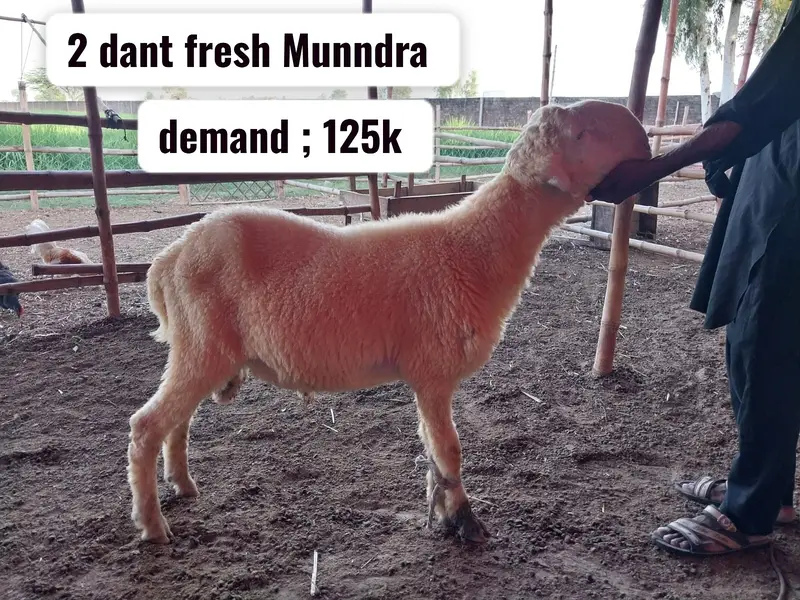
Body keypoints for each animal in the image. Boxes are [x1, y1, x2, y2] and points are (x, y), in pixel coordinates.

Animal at [127, 99, 652, 545]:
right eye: (582, 134)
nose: (643, 138)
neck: (474, 247)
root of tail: (170, 257)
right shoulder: (434, 370)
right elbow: (449, 450)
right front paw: (463, 521)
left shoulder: (426, 376)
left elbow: (432, 452)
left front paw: (443, 512)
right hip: (202, 344)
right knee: (146, 425)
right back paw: (153, 526)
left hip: (201, 348)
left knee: (179, 421)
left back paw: (183, 485)